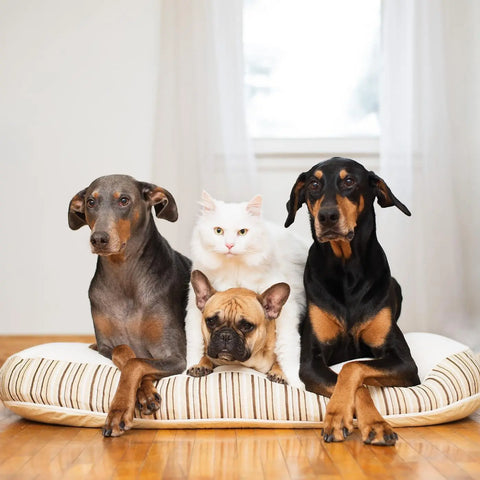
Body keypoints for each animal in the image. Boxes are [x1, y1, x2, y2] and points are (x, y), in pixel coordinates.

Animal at [68, 174, 191, 436]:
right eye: (90, 202)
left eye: (124, 200)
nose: (99, 239)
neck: (124, 275)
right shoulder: (107, 345)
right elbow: (125, 354)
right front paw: (143, 393)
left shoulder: (175, 355)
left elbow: (136, 363)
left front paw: (119, 410)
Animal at [185, 191, 308, 390]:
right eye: (211, 321)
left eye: (247, 326)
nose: (225, 335)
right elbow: (197, 343)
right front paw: (199, 363)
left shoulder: (288, 311)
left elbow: (285, 347)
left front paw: (284, 374)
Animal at [284, 158, 420, 446]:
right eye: (314, 184)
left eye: (349, 182)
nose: (327, 216)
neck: (346, 268)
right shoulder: (310, 363)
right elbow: (350, 379)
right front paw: (339, 417)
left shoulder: (405, 362)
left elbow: (352, 367)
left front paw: (374, 424)